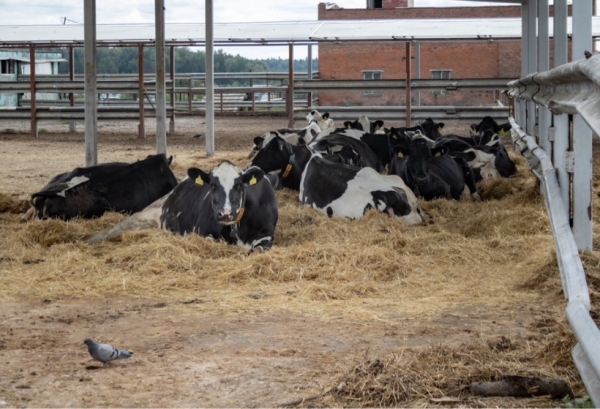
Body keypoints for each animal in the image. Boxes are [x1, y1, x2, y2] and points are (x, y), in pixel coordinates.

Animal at [85, 162, 278, 252]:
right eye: (212, 185)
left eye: (239, 185)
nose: (225, 213)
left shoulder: (266, 236)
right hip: (140, 219)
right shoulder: (203, 233)